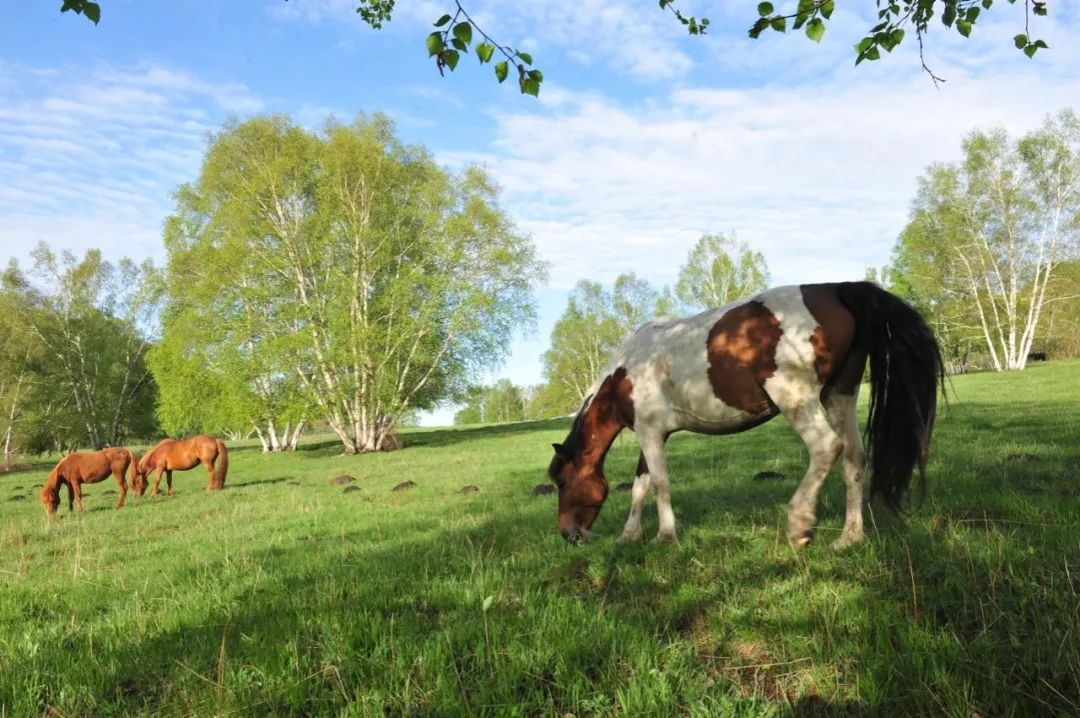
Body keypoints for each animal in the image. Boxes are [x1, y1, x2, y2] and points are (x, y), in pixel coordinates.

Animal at [548, 282, 946, 546]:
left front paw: (664, 535)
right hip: (840, 394)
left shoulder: (649, 433)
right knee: (853, 457)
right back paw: (849, 536)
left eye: (562, 483)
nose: (569, 534)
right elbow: (640, 487)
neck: (626, 372)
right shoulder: (655, 436)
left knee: (826, 448)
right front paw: (628, 536)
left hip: (796, 398)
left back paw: (799, 524)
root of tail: (835, 289)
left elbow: (659, 484)